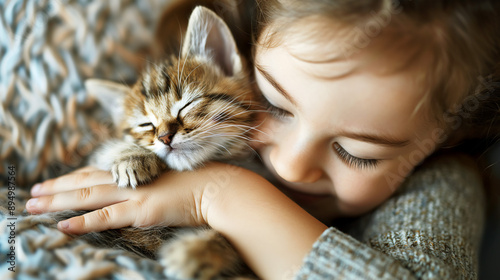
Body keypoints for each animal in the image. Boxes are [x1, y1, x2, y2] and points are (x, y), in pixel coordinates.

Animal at [56, 6, 258, 280]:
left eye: (187, 105)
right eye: (146, 125)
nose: (164, 137)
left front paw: (198, 252)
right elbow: (105, 149)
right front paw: (131, 157)